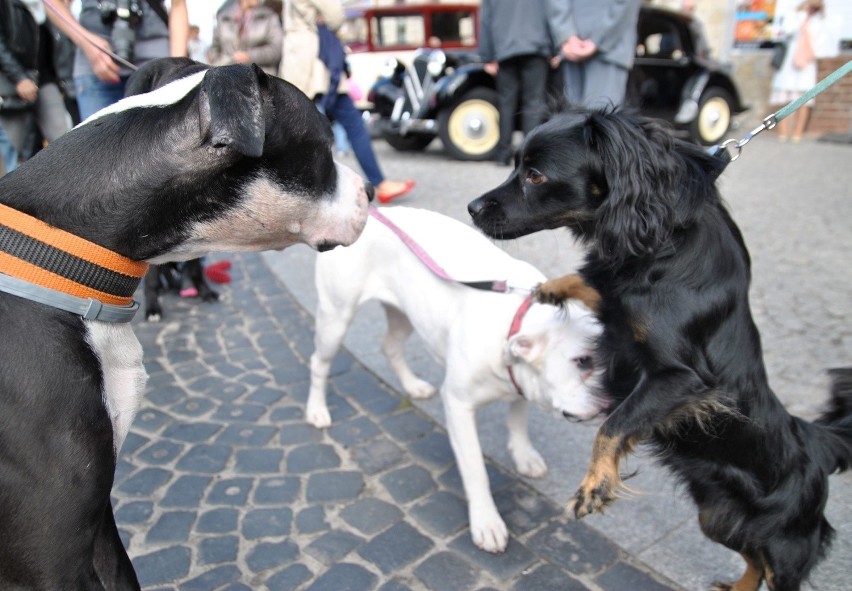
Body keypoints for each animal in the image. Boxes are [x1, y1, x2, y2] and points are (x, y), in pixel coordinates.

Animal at [308, 207, 604, 556]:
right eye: (583, 361)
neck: (514, 321)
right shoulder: (459, 406)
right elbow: (476, 470)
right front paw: (487, 522)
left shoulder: (519, 385)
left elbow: (518, 422)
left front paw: (524, 455)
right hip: (335, 318)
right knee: (319, 362)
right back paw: (317, 410)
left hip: (407, 314)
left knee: (391, 346)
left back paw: (412, 386)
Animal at [466, 108, 852, 588]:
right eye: (517, 165)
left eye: (535, 176)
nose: (472, 208)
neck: (665, 238)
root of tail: (817, 443)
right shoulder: (615, 302)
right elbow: (591, 282)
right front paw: (548, 288)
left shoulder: (680, 380)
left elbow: (613, 425)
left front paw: (594, 486)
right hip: (717, 515)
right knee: (752, 558)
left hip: (786, 544)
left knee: (772, 567)